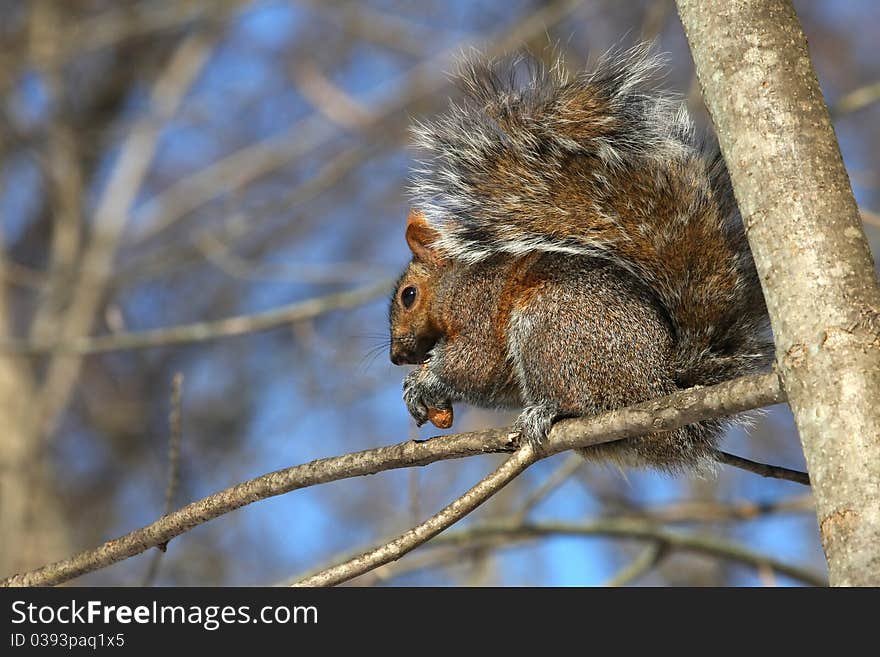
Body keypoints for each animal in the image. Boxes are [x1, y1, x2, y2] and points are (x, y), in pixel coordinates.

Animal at [388, 44, 772, 472]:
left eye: (408, 295)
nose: (396, 356)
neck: (453, 285)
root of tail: (659, 388)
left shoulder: (481, 307)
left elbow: (477, 362)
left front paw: (424, 380)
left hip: (552, 328)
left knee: (583, 398)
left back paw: (549, 410)